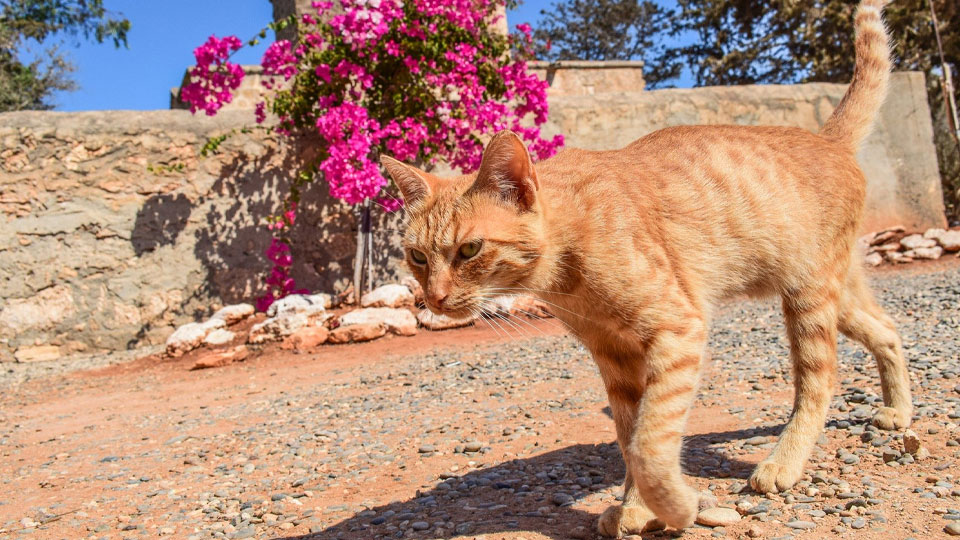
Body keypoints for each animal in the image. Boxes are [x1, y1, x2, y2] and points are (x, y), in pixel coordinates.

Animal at [378, 0, 912, 532]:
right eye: (418, 256)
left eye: (469, 250)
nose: (434, 299)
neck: (568, 270)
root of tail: (828, 139)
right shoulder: (613, 357)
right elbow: (629, 437)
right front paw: (636, 508)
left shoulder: (677, 331)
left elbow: (650, 443)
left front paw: (674, 506)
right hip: (834, 296)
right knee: (887, 330)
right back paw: (898, 410)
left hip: (808, 300)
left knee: (818, 381)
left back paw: (784, 462)